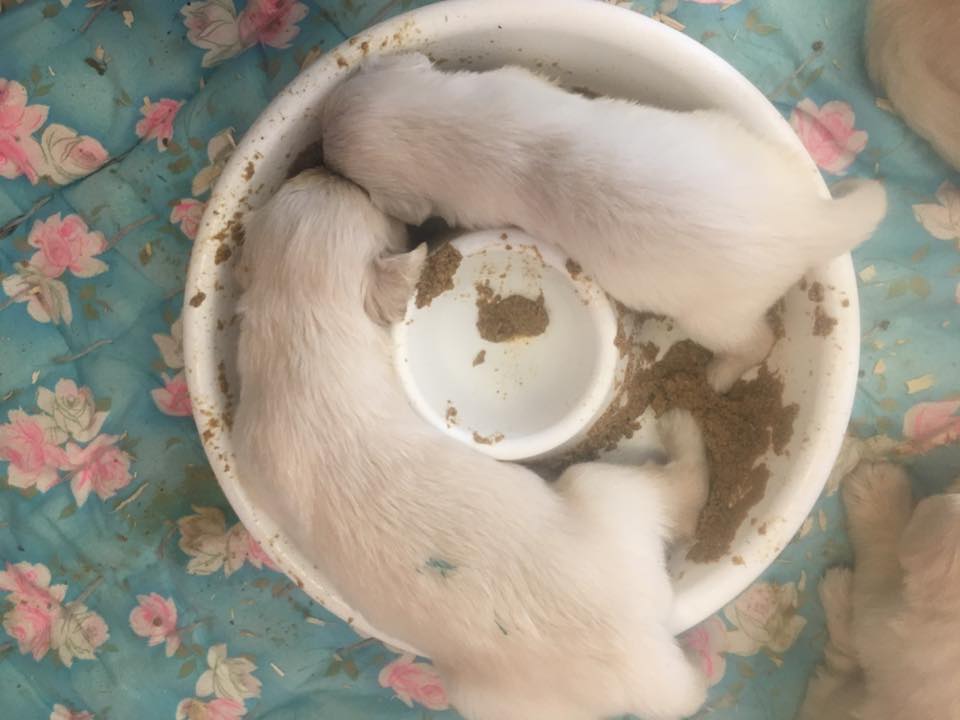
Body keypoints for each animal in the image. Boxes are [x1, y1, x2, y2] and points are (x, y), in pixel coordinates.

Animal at [233, 168, 711, 720]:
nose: (323, 168)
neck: (300, 327)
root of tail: (637, 653)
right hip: (604, 491)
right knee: (682, 488)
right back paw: (684, 427)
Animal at [318, 52, 887, 393]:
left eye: (337, 165)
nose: (318, 151)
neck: (448, 128)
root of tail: (808, 221)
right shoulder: (513, 83)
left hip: (715, 317)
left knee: (755, 342)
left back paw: (721, 375)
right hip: (736, 137)